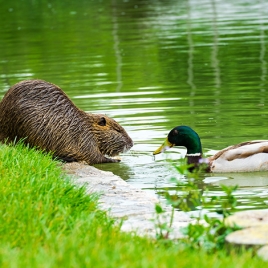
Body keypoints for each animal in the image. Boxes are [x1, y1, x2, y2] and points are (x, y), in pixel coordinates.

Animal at [0, 78, 133, 164]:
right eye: (118, 130)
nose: (131, 143)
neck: (84, 125)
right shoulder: (84, 139)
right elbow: (94, 157)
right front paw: (116, 159)